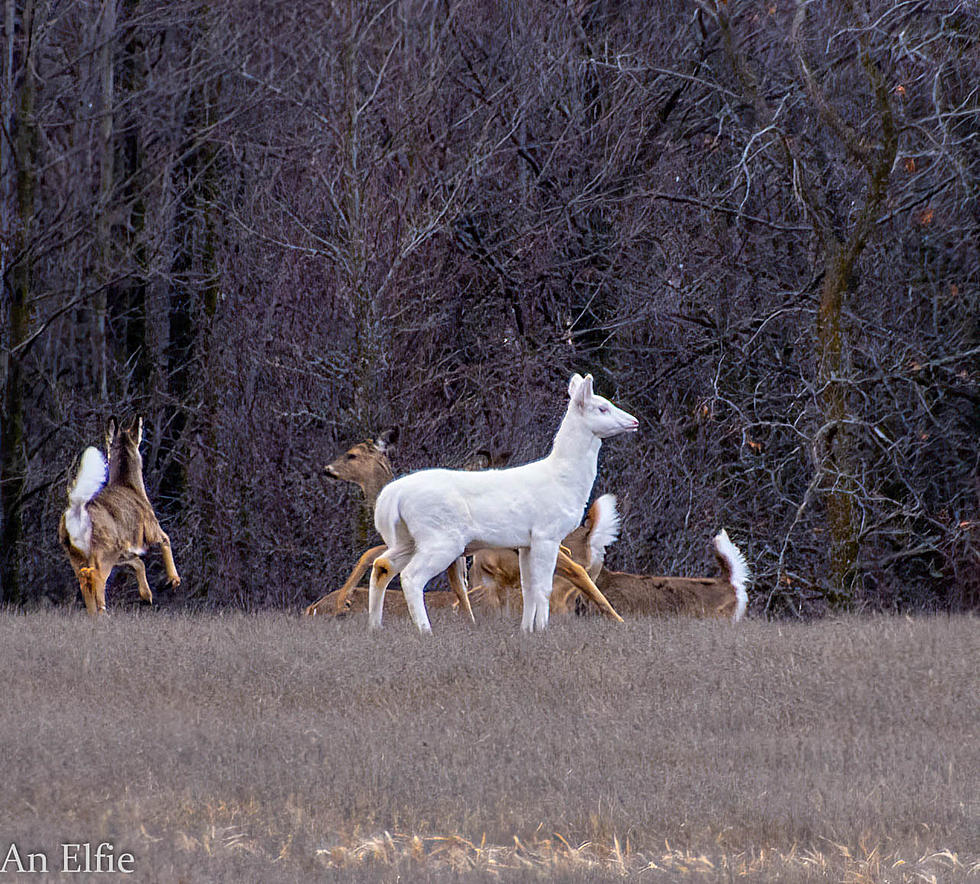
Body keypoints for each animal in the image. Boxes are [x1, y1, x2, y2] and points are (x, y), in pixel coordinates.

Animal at [57, 416, 181, 616]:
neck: (130, 486)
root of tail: (78, 510)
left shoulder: (124, 552)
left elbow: (139, 563)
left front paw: (147, 596)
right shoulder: (151, 527)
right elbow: (165, 540)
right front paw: (173, 580)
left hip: (75, 554)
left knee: (84, 579)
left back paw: (94, 614)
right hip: (104, 549)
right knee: (96, 576)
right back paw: (103, 614)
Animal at [366, 372, 636, 636]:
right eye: (602, 408)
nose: (634, 421)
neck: (565, 481)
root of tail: (392, 496)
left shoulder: (526, 543)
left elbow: (528, 588)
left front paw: (527, 631)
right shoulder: (546, 533)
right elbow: (544, 587)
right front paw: (543, 629)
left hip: (406, 538)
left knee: (382, 565)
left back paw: (375, 627)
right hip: (440, 538)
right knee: (411, 577)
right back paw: (425, 631)